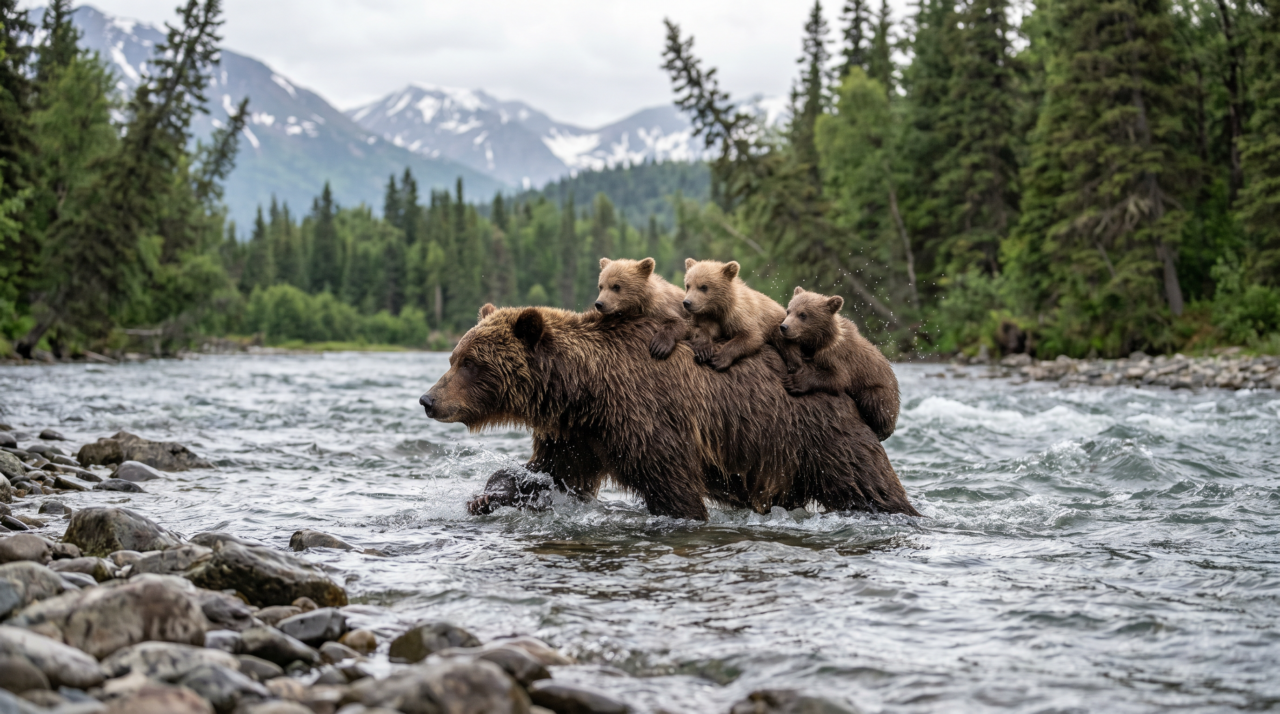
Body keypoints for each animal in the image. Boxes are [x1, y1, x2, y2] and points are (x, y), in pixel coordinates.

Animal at [419, 305, 919, 520]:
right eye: (454, 356)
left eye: (470, 363)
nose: (428, 399)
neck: (582, 389)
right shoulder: (580, 434)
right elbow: (547, 473)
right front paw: (485, 497)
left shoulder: (642, 416)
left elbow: (671, 484)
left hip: (816, 435)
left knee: (867, 485)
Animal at [778, 287, 900, 442]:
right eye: (789, 310)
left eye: (803, 314)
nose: (784, 327)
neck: (821, 341)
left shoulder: (839, 357)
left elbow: (838, 379)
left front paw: (795, 381)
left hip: (882, 394)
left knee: (874, 400)